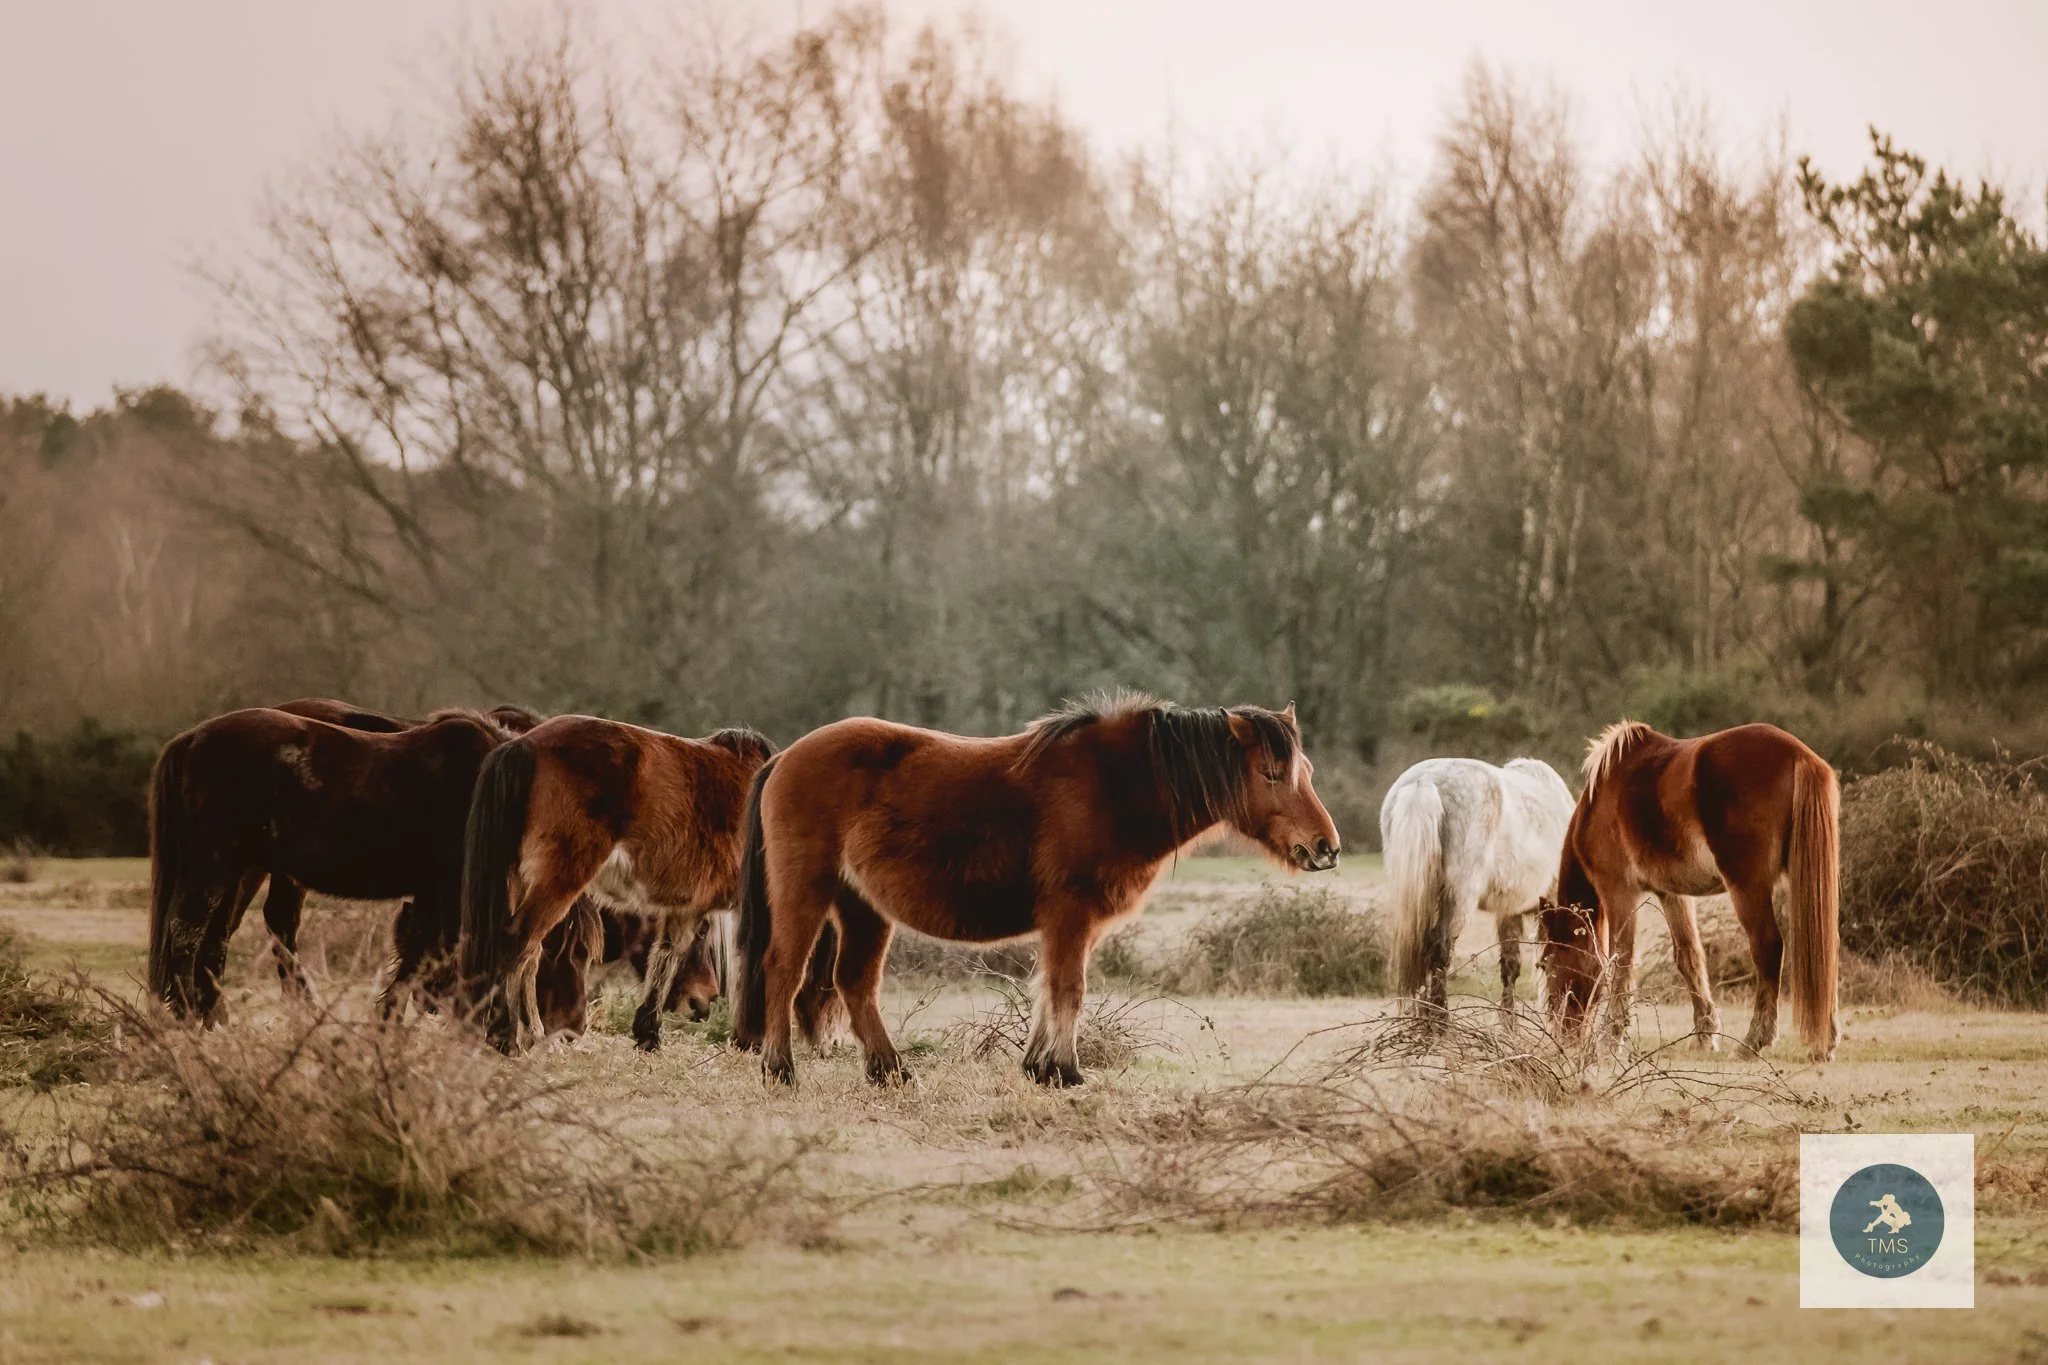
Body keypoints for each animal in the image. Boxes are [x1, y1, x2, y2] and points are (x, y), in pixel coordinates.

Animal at [147, 706, 523, 1021]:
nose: (431, 1005)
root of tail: (192, 738)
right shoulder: (447, 888)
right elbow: (430, 950)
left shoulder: (433, 891)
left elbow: (421, 948)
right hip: (213, 868)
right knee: (186, 933)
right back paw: (189, 1015)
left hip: (234, 872)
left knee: (215, 939)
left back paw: (213, 1018)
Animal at [457, 716, 776, 1052]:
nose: (703, 1002)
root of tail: (525, 744)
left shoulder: (688, 907)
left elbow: (667, 953)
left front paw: (648, 1034)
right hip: (558, 881)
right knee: (518, 946)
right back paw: (508, 1039)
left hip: (521, 881)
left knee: (528, 957)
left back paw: (535, 1037)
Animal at [733, 693, 1342, 1088]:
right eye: (1271, 773)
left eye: (1307, 770)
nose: (1326, 847)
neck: (1114, 786)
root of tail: (785, 757)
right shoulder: (1070, 912)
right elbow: (1069, 987)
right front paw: (1065, 1071)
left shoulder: (1076, 922)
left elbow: (1049, 988)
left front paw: (1039, 1066)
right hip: (805, 891)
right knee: (782, 970)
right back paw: (780, 1070)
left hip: (862, 907)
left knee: (854, 984)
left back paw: (892, 1073)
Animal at [1380, 757, 1575, 1024]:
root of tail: (1424, 782)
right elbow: (1548, 963)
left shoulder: (1508, 911)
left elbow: (1511, 965)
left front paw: (1509, 1024)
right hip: (1459, 899)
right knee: (1439, 952)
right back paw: (1439, 1024)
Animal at [1537, 720, 1840, 1060]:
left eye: (1546, 964)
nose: (1563, 1036)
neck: (1600, 797)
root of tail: (1798, 754)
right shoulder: (1672, 894)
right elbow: (1688, 957)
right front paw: (1705, 1034)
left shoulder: (1618, 891)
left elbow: (1621, 960)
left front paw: (1610, 1039)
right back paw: (1824, 1043)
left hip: (1748, 886)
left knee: (1768, 947)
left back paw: (1753, 1041)